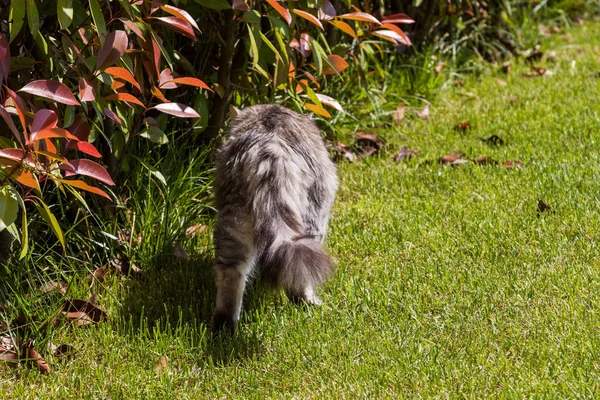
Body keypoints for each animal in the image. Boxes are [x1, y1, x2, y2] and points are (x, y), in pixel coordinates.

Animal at [212, 104, 338, 334]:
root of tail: (270, 151)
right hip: (313, 213)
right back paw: (306, 300)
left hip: (234, 222)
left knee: (230, 272)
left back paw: (225, 325)